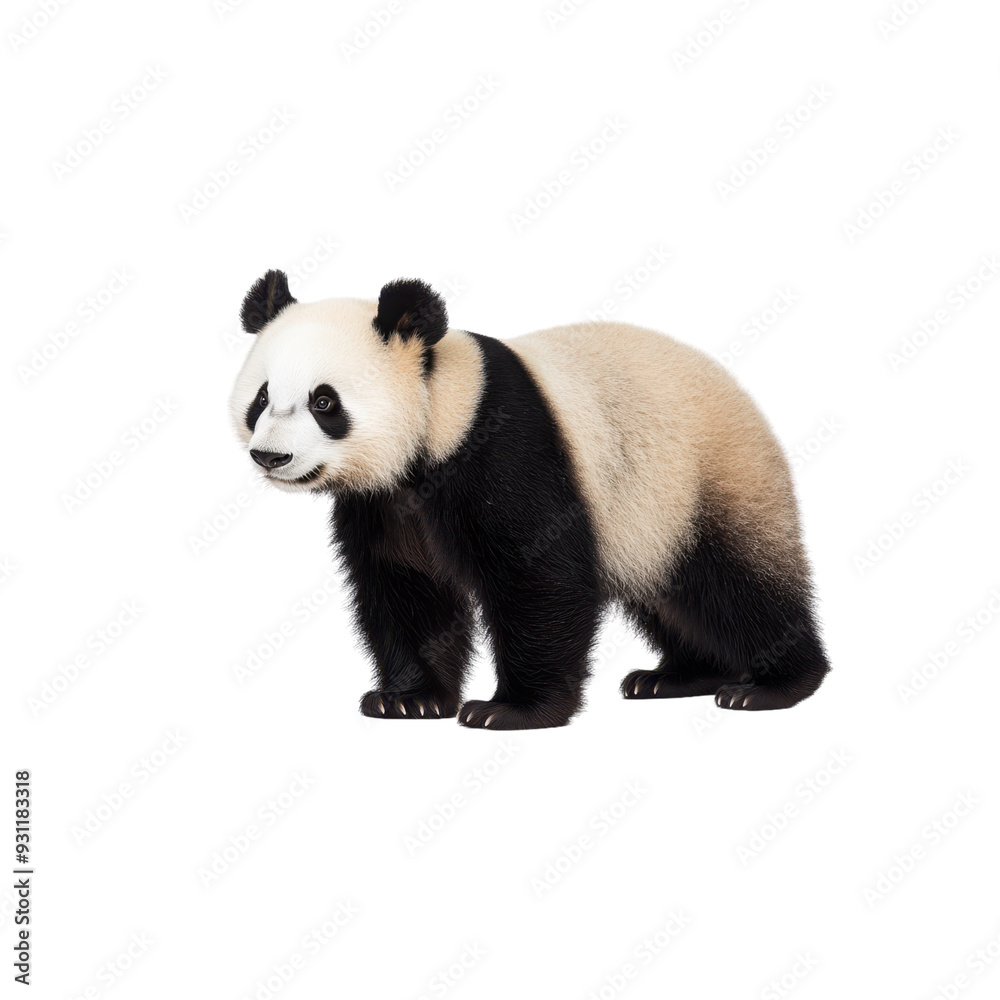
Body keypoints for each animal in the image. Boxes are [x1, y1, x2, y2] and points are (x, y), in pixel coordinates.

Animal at [230, 269, 830, 729]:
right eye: (261, 398)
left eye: (324, 402)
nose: (270, 457)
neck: (439, 412)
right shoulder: (385, 503)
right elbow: (406, 586)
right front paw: (408, 699)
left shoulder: (502, 450)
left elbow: (539, 577)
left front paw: (511, 710)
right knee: (671, 594)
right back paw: (677, 676)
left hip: (703, 477)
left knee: (735, 583)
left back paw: (770, 684)